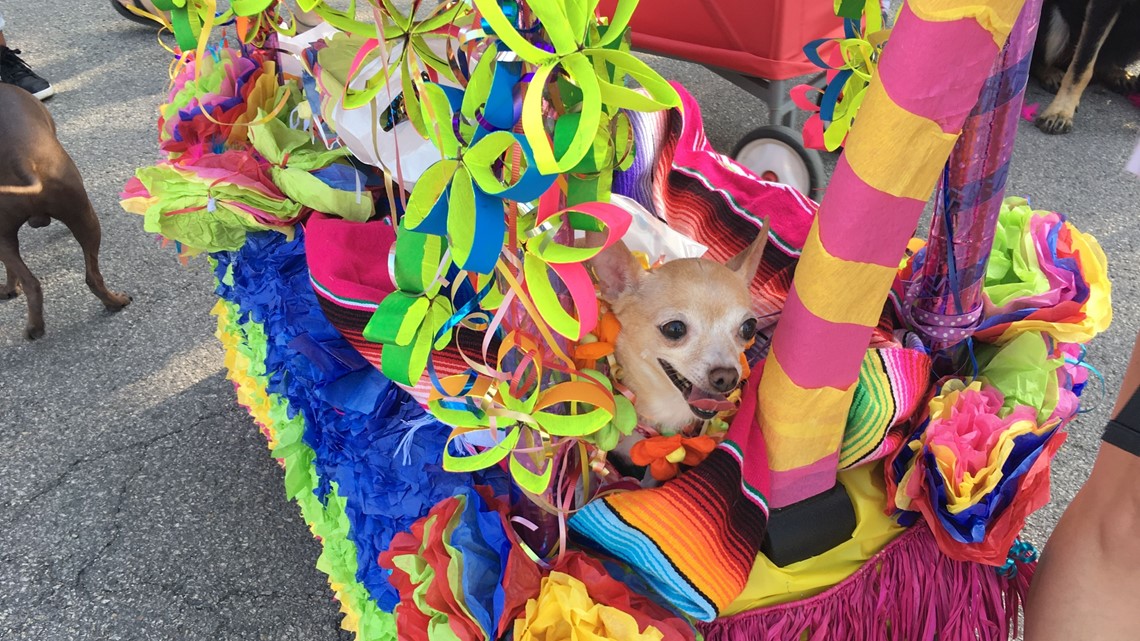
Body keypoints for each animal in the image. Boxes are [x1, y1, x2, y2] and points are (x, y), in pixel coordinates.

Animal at [0, 82, 130, 337]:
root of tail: (21, 161)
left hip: (5, 236)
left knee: (30, 282)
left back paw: (34, 328)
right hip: (86, 216)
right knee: (92, 277)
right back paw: (116, 302)